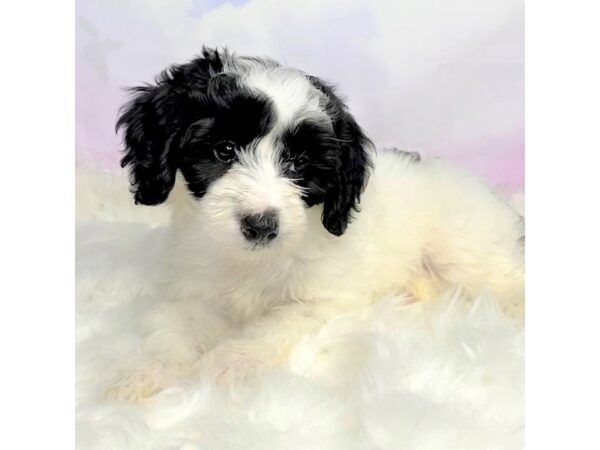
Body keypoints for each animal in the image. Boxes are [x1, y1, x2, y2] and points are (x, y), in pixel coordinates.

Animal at [105, 48, 524, 400]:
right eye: (224, 150)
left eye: (298, 163)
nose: (261, 226)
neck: (251, 262)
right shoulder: (193, 291)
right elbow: (171, 329)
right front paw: (143, 373)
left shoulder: (323, 299)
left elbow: (275, 324)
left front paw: (231, 360)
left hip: (463, 249)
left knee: (506, 278)